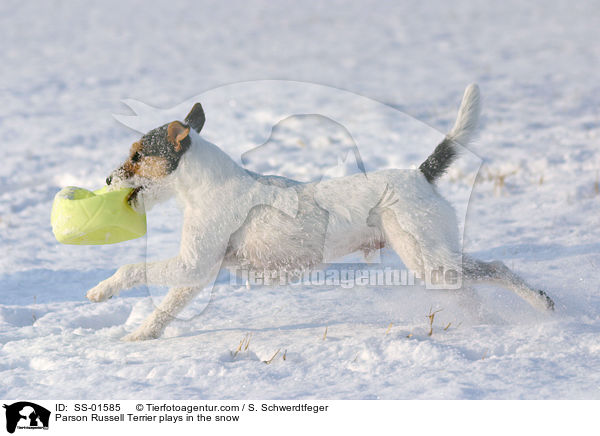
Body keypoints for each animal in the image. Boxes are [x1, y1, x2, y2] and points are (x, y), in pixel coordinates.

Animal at [86, 84, 556, 340]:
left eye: (137, 155)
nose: (107, 179)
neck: (207, 184)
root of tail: (420, 175)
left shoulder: (192, 265)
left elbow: (132, 269)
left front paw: (102, 291)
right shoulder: (195, 274)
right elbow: (164, 311)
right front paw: (141, 335)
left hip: (430, 260)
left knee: (494, 270)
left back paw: (533, 308)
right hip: (438, 261)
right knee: (482, 280)